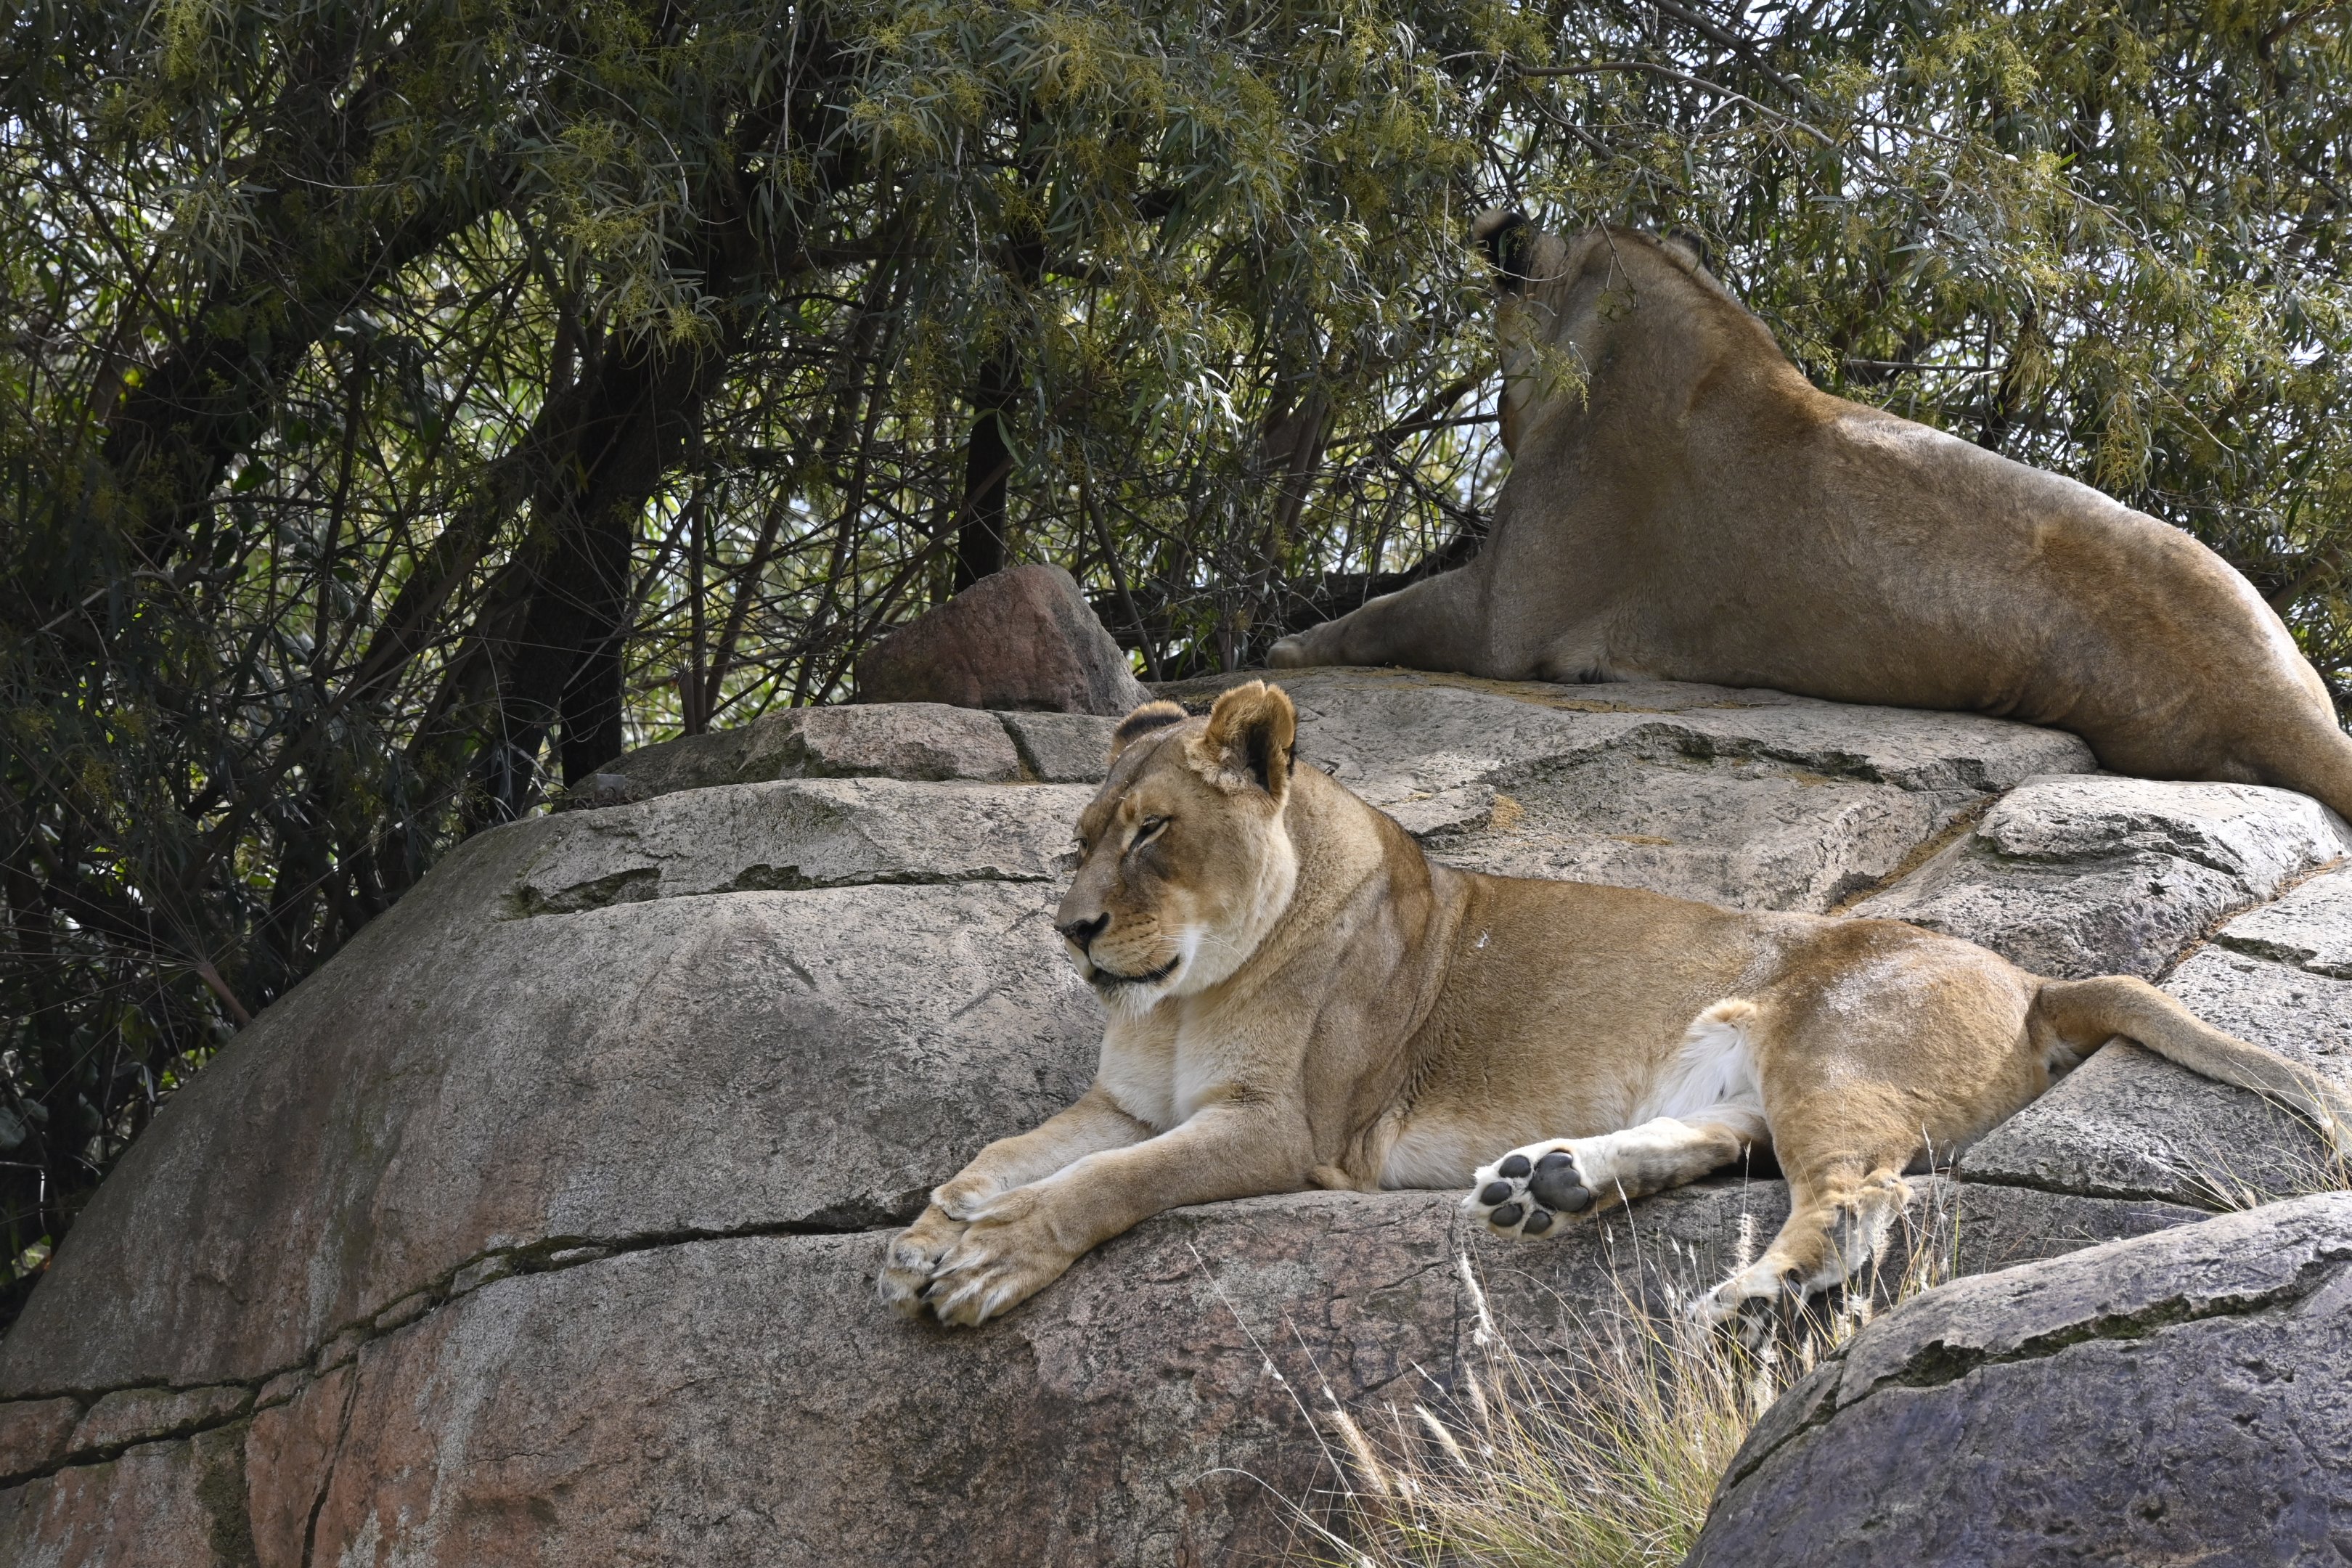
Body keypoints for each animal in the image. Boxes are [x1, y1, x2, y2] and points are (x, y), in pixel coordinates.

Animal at [877, 682, 2351, 1328]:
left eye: (1152, 836)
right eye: (1079, 841)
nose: (1070, 931)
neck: (1181, 999)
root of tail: (2027, 974)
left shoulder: (1287, 1133)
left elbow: (1105, 1185)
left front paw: (989, 1262)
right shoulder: (1122, 1098)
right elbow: (1006, 1153)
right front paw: (928, 1232)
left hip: (1832, 1047)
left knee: (1859, 1198)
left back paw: (1752, 1295)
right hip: (1741, 1073)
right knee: (1724, 1148)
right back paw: (1549, 1185)